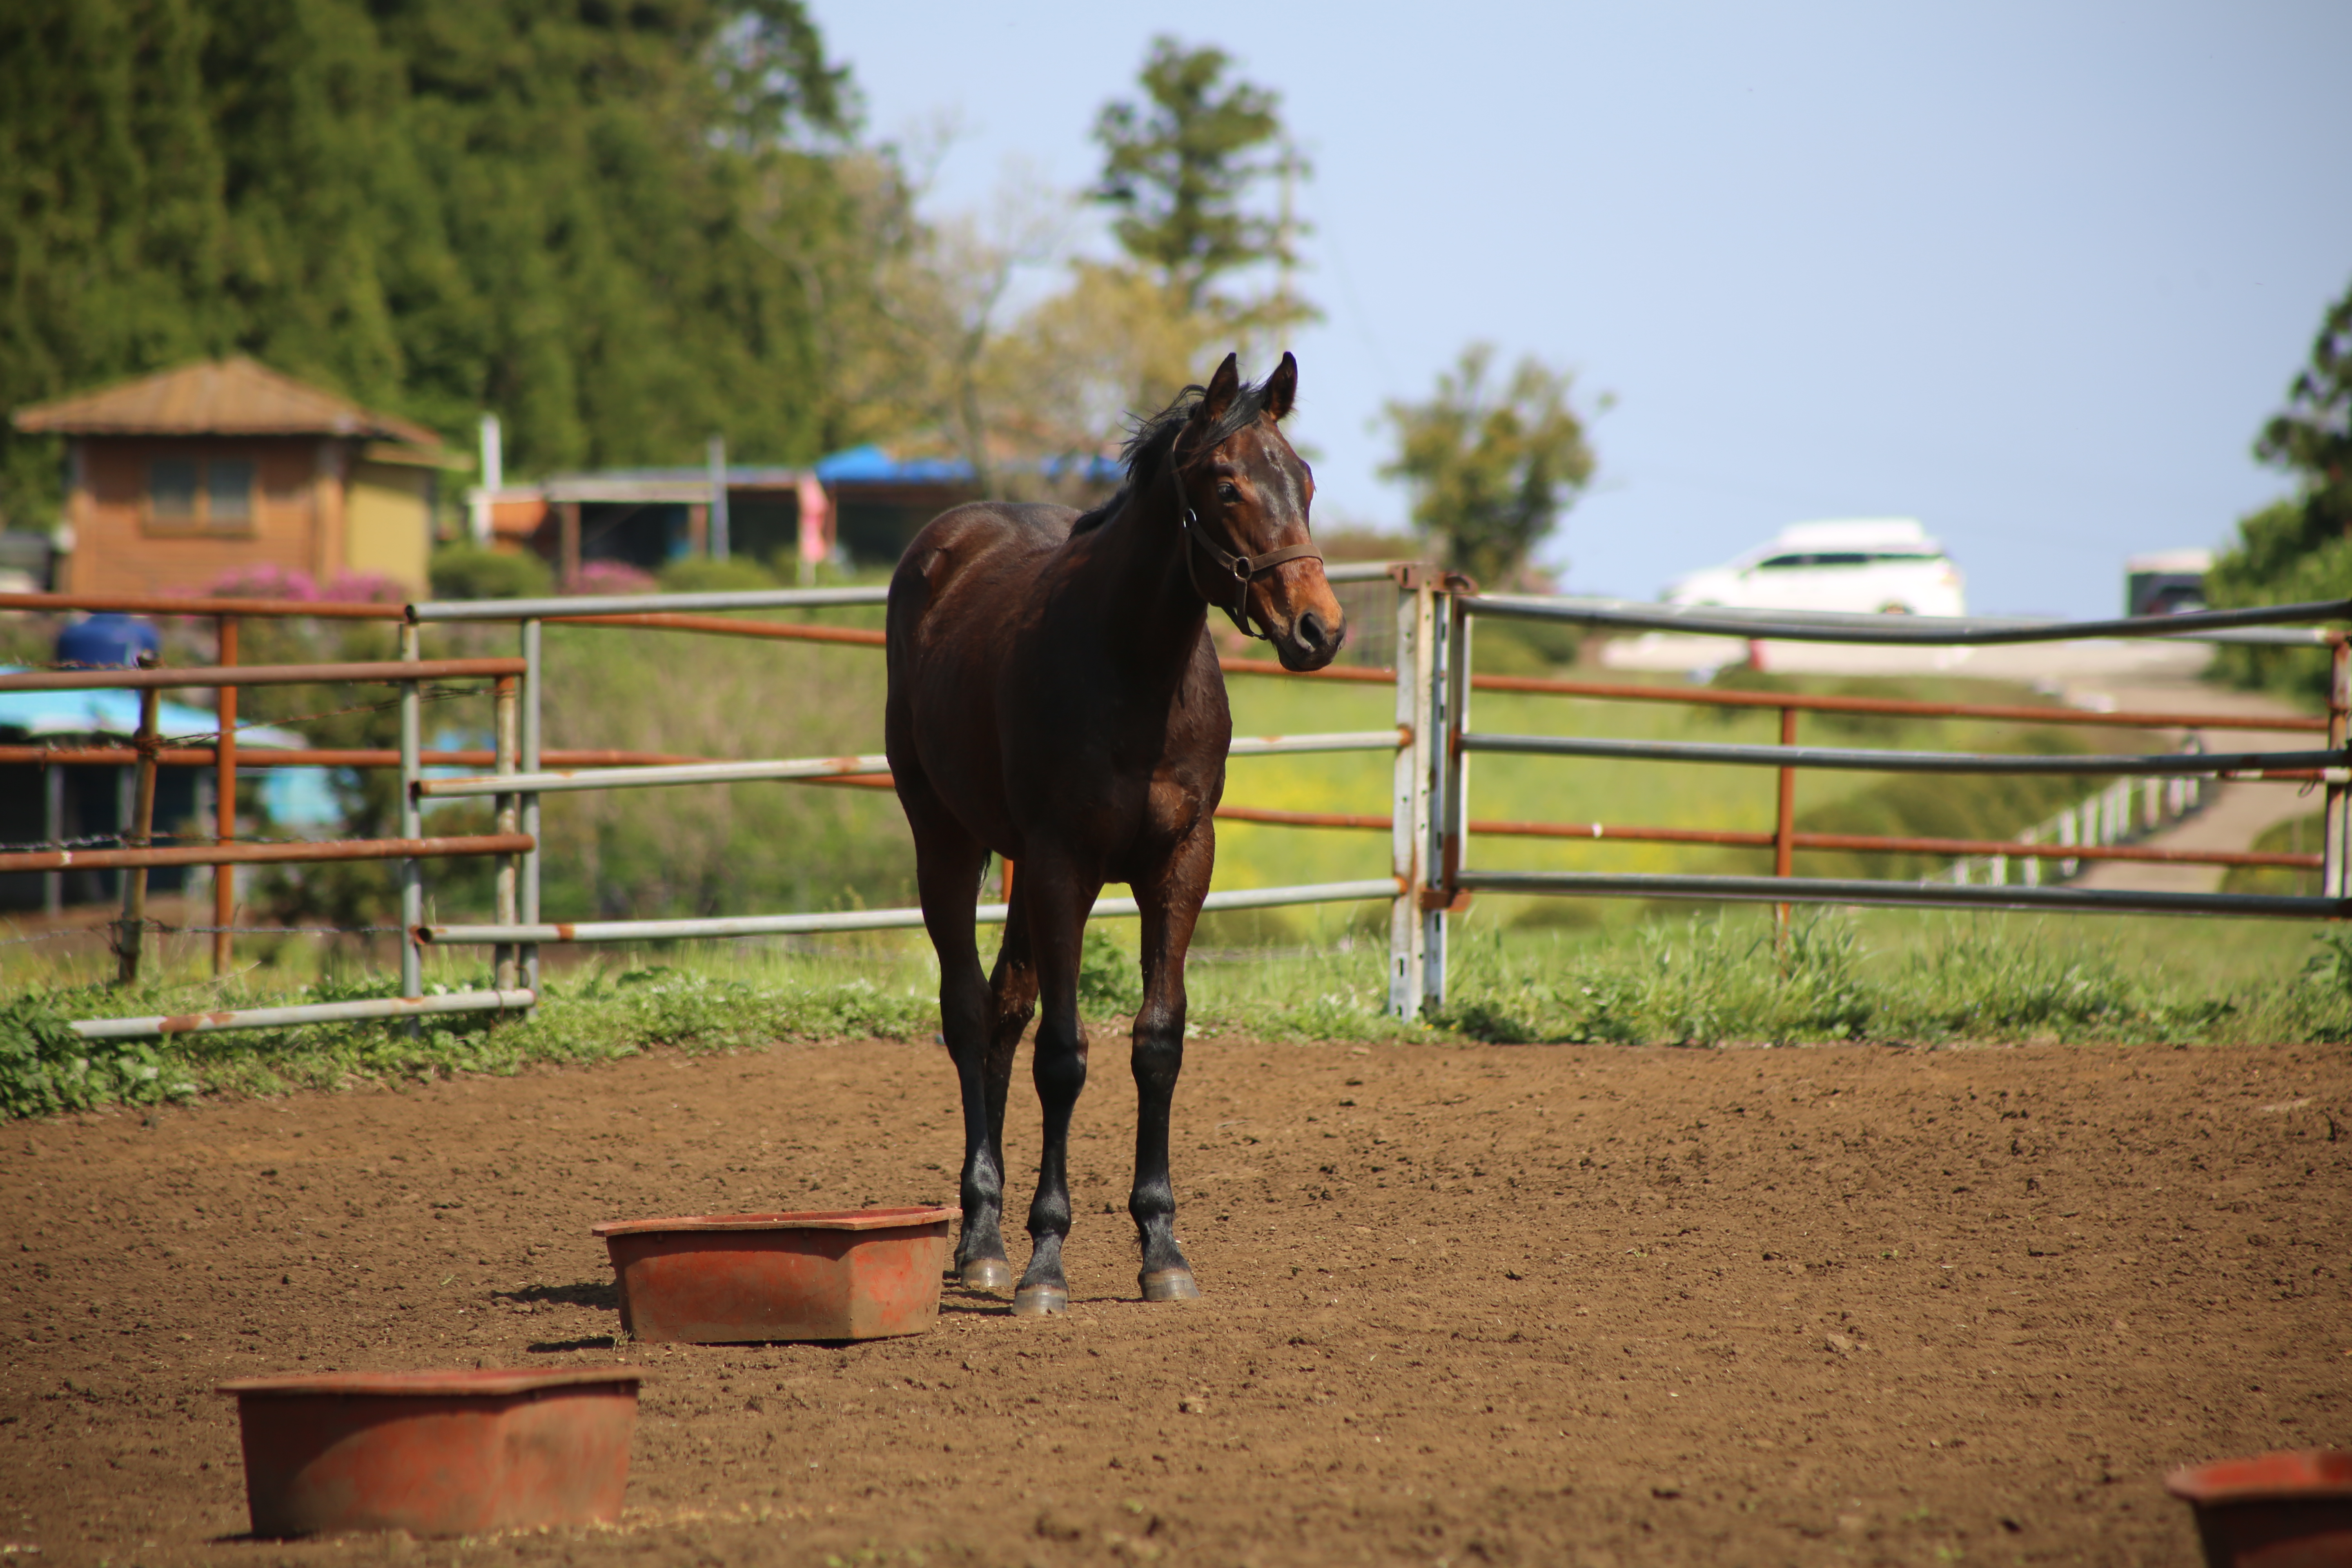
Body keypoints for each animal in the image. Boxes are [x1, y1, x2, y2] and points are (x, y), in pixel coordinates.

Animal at [884, 352, 1345, 1316]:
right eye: (1225, 483)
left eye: (1307, 480)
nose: (1319, 629)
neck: (1135, 668)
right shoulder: (1066, 865)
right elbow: (1065, 1056)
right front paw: (1045, 1261)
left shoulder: (1181, 863)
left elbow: (1157, 1042)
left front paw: (1162, 1249)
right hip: (945, 839)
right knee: (967, 1011)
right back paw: (983, 1240)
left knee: (1003, 1010)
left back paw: (985, 1232)